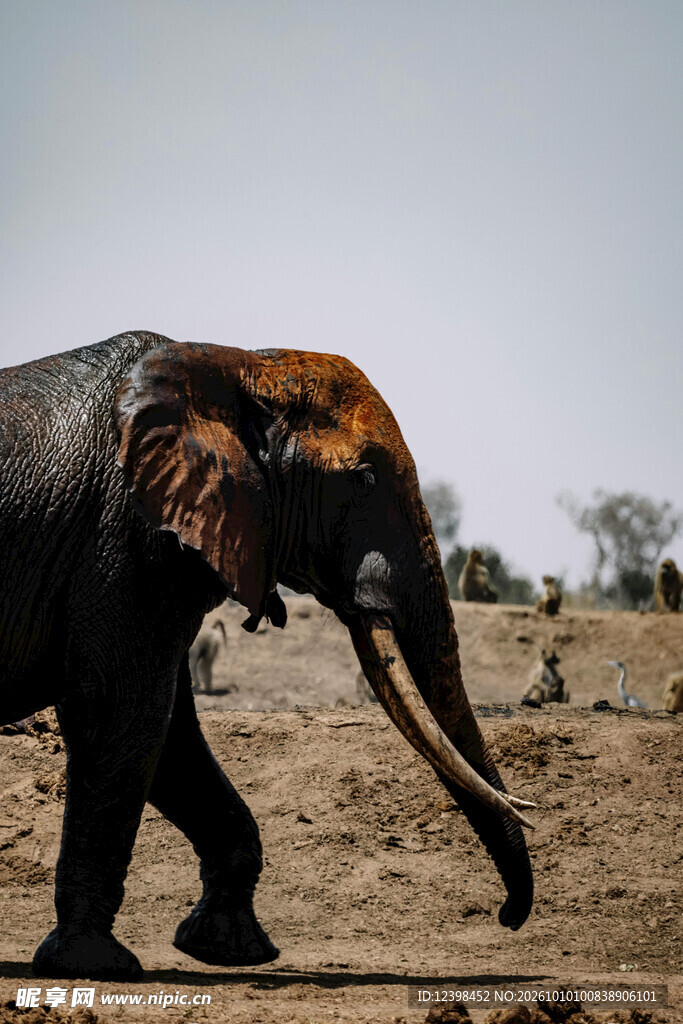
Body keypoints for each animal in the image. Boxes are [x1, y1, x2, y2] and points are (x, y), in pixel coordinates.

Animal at [0, 331, 534, 981]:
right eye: (362, 481)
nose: (507, 916)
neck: (240, 365)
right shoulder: (125, 542)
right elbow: (121, 716)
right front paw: (94, 966)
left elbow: (173, 737)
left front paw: (229, 950)